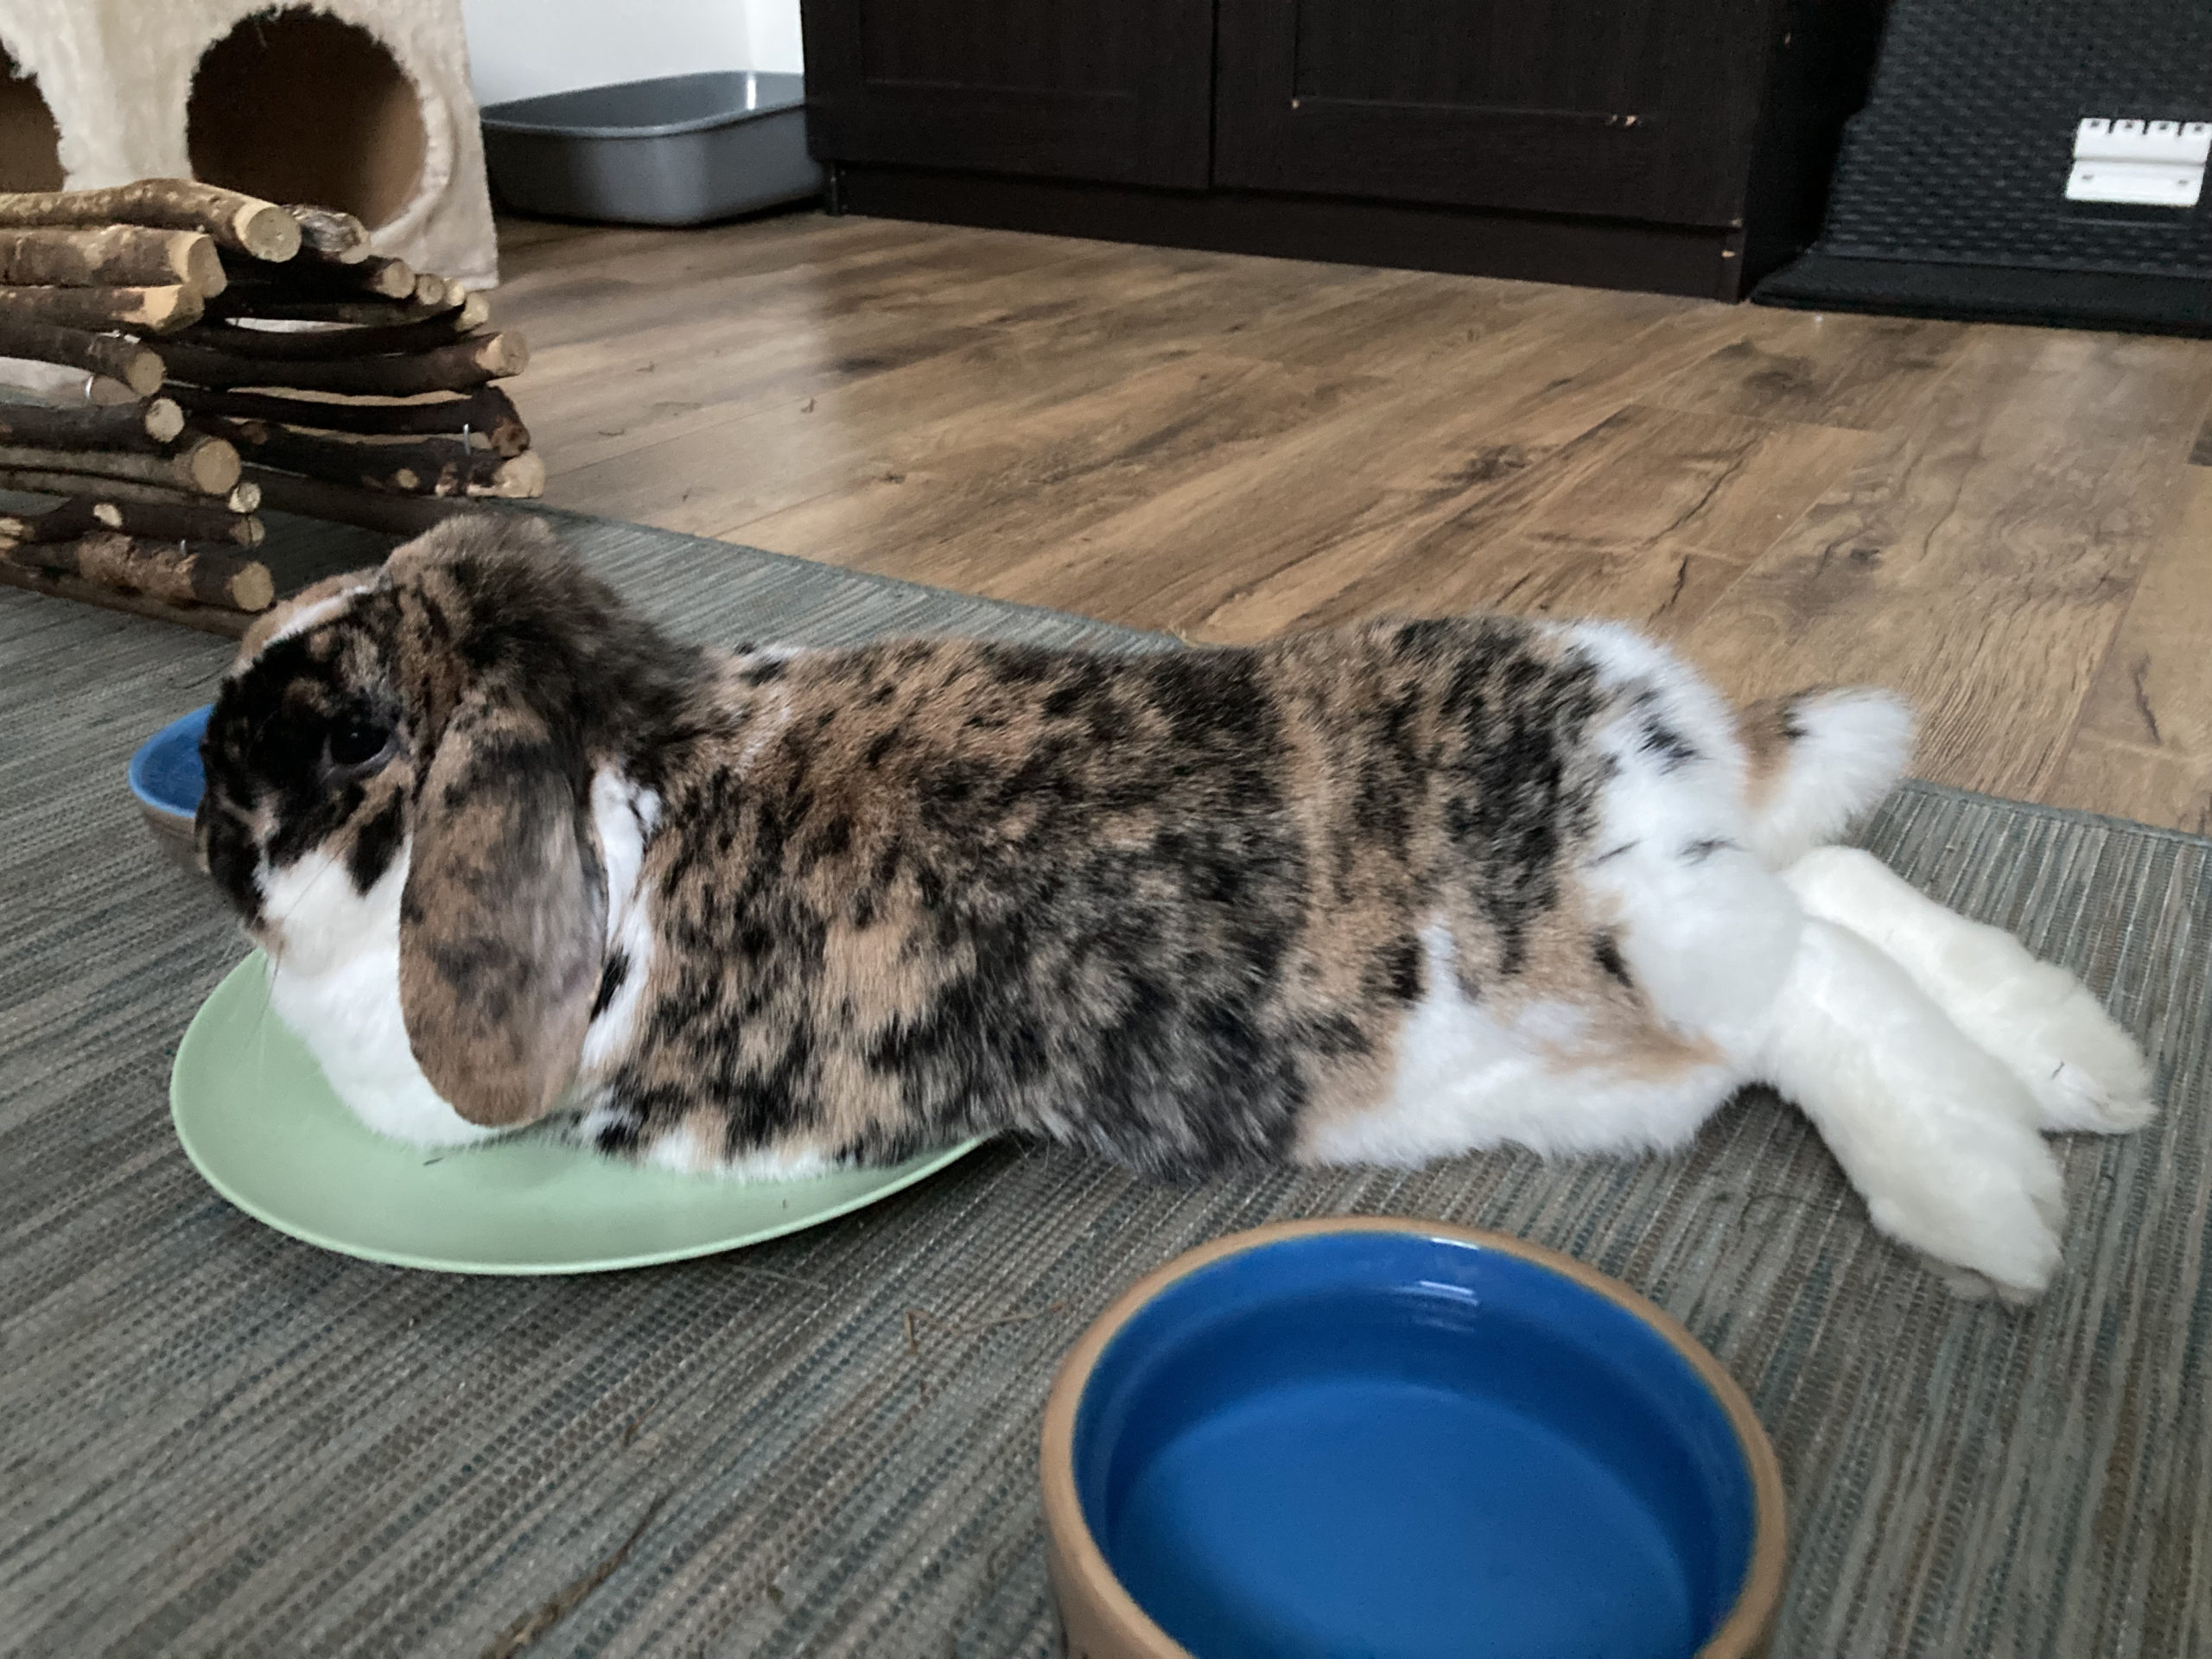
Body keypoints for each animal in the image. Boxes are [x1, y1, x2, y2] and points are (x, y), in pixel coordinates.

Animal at [196, 515, 2153, 1301]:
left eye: (338, 732)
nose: (209, 818)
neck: (625, 749)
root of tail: (1637, 705)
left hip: (1615, 952)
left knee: (1811, 985)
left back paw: (1994, 1208)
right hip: (1658, 925)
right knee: (1832, 883)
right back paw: (2088, 1073)